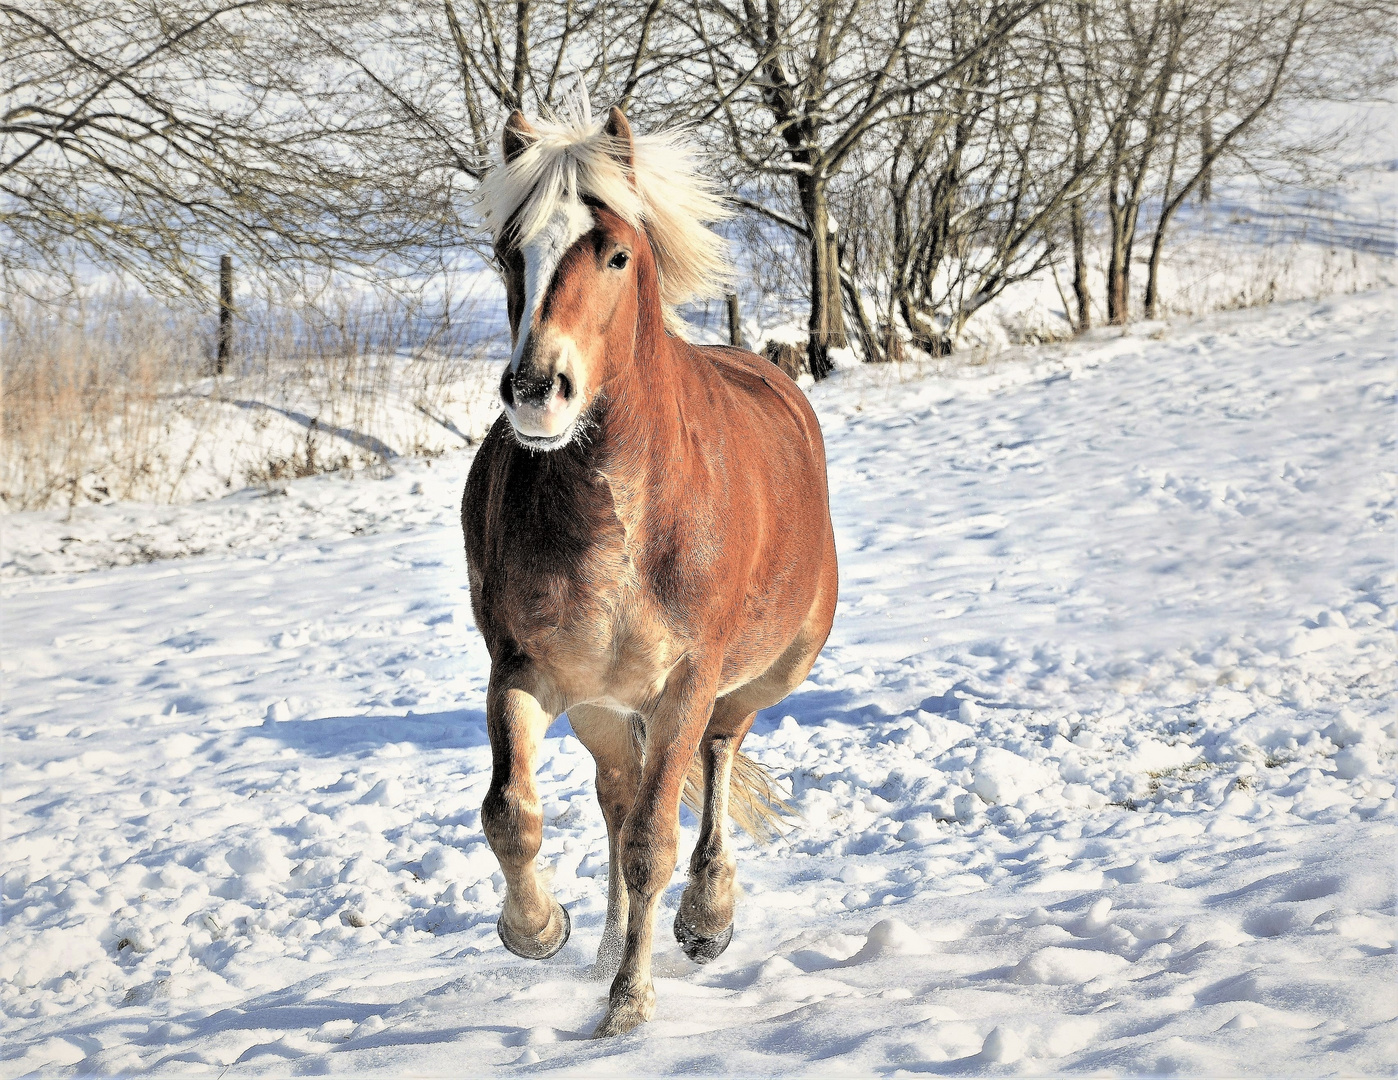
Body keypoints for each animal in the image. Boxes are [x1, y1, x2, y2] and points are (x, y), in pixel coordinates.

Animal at [458, 99, 833, 1033]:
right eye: (510, 252)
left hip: (763, 676)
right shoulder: (522, 671)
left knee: (719, 756)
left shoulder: (685, 684)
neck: (619, 516)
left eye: (617, 254)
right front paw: (539, 930)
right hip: (602, 711)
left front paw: (629, 1003)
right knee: (617, 796)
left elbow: (653, 845)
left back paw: (706, 917)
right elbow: (510, 813)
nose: (536, 389)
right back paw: (601, 949)